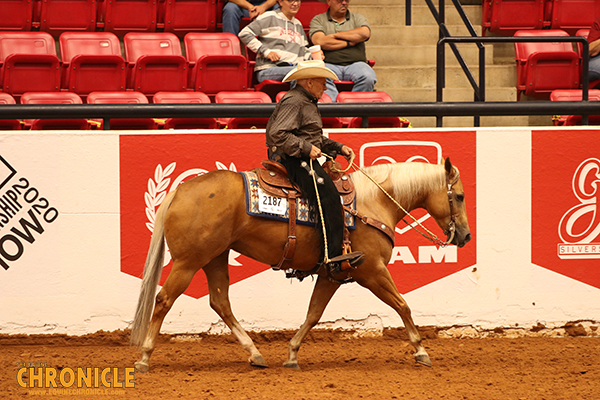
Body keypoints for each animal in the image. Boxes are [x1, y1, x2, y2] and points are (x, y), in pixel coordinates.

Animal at [130, 156, 468, 372]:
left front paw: (292, 354)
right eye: (461, 196)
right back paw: (144, 358)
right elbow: (402, 305)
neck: (374, 202)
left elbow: (314, 313)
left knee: (220, 302)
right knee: (164, 300)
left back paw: (255, 354)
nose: (464, 236)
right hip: (188, 261)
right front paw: (421, 350)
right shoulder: (372, 270)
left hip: (215, 257)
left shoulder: (332, 274)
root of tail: (180, 191)